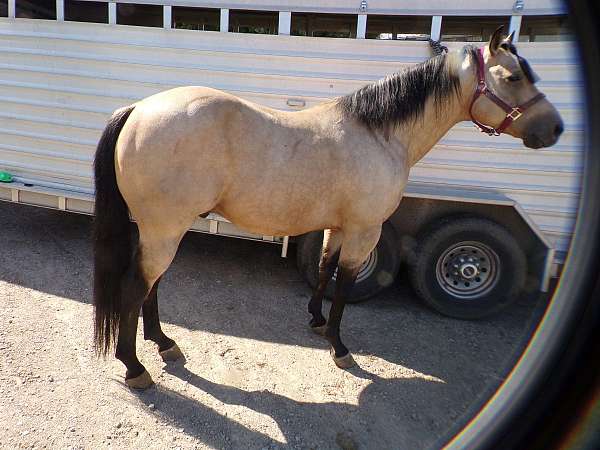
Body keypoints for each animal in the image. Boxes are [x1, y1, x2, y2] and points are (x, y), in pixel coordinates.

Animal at [92, 27, 564, 386]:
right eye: (514, 77)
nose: (556, 129)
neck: (380, 135)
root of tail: (138, 109)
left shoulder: (338, 227)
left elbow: (323, 270)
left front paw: (316, 322)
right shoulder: (364, 230)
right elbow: (345, 285)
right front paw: (339, 348)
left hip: (161, 230)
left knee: (152, 286)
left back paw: (164, 343)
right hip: (164, 230)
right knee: (136, 287)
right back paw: (134, 367)